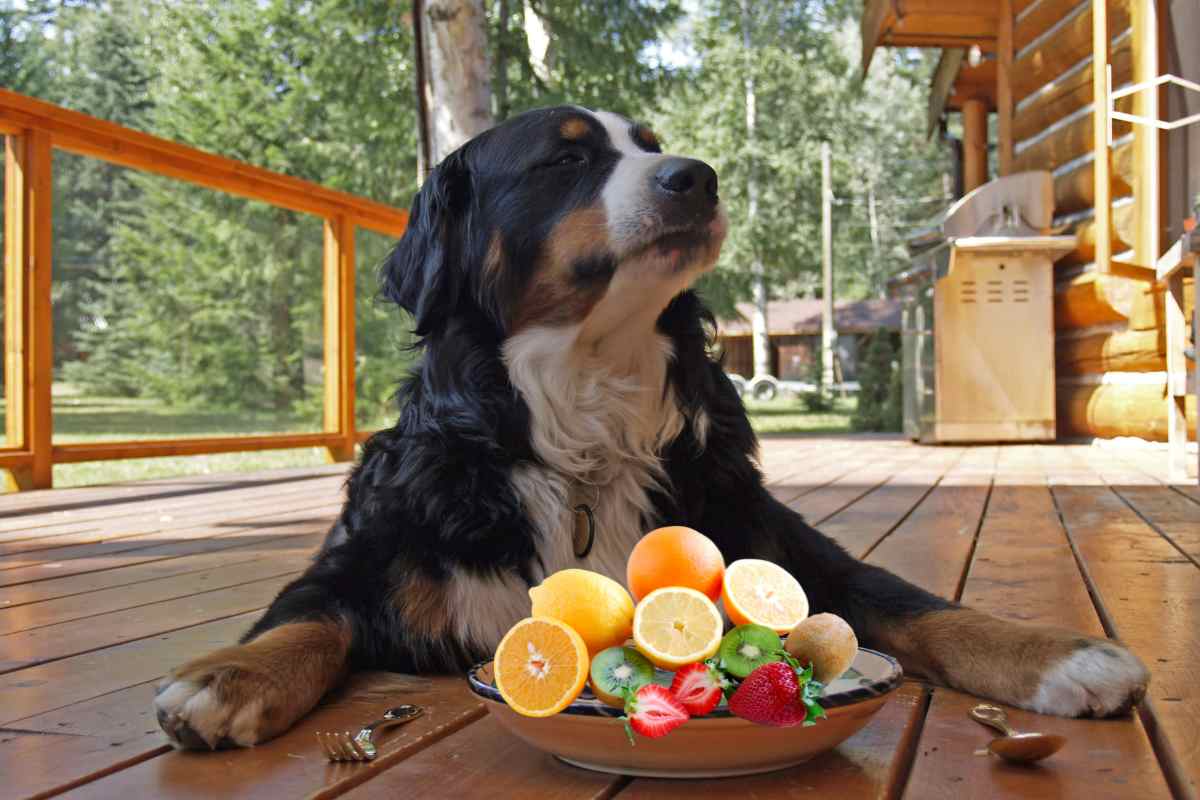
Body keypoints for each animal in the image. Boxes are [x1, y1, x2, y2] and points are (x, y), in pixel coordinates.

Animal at [154, 106, 1147, 753]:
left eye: (655, 148)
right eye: (564, 163)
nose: (697, 177)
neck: (584, 417)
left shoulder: (778, 542)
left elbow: (917, 604)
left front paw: (1056, 655)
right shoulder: (368, 555)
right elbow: (306, 620)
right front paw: (226, 677)